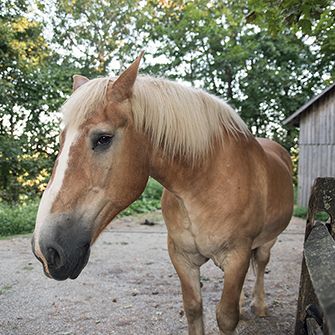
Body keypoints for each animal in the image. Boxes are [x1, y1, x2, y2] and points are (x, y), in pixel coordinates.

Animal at [31, 53, 294, 335]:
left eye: (103, 138)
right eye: (61, 140)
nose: (45, 250)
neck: (204, 184)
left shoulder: (237, 257)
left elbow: (226, 316)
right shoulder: (181, 257)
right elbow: (193, 309)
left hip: (267, 242)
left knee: (262, 264)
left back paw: (259, 306)